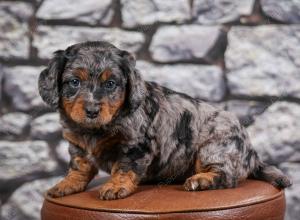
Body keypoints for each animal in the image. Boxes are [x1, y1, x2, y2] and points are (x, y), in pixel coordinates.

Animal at [38, 40, 292, 200]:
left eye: (110, 84)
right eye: (74, 82)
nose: (91, 110)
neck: (96, 128)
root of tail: (251, 152)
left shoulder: (136, 145)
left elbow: (124, 167)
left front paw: (115, 187)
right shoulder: (77, 145)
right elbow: (79, 167)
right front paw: (66, 184)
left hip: (214, 148)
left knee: (228, 176)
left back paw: (201, 181)